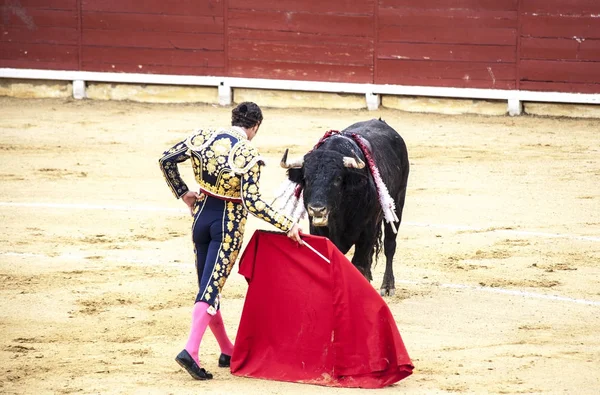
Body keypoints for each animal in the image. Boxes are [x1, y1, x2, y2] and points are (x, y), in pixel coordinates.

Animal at [280, 119, 408, 296]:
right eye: (306, 178)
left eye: (338, 179)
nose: (317, 209)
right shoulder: (317, 230)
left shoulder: (366, 232)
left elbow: (358, 264)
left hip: (398, 201)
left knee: (389, 245)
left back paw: (387, 286)